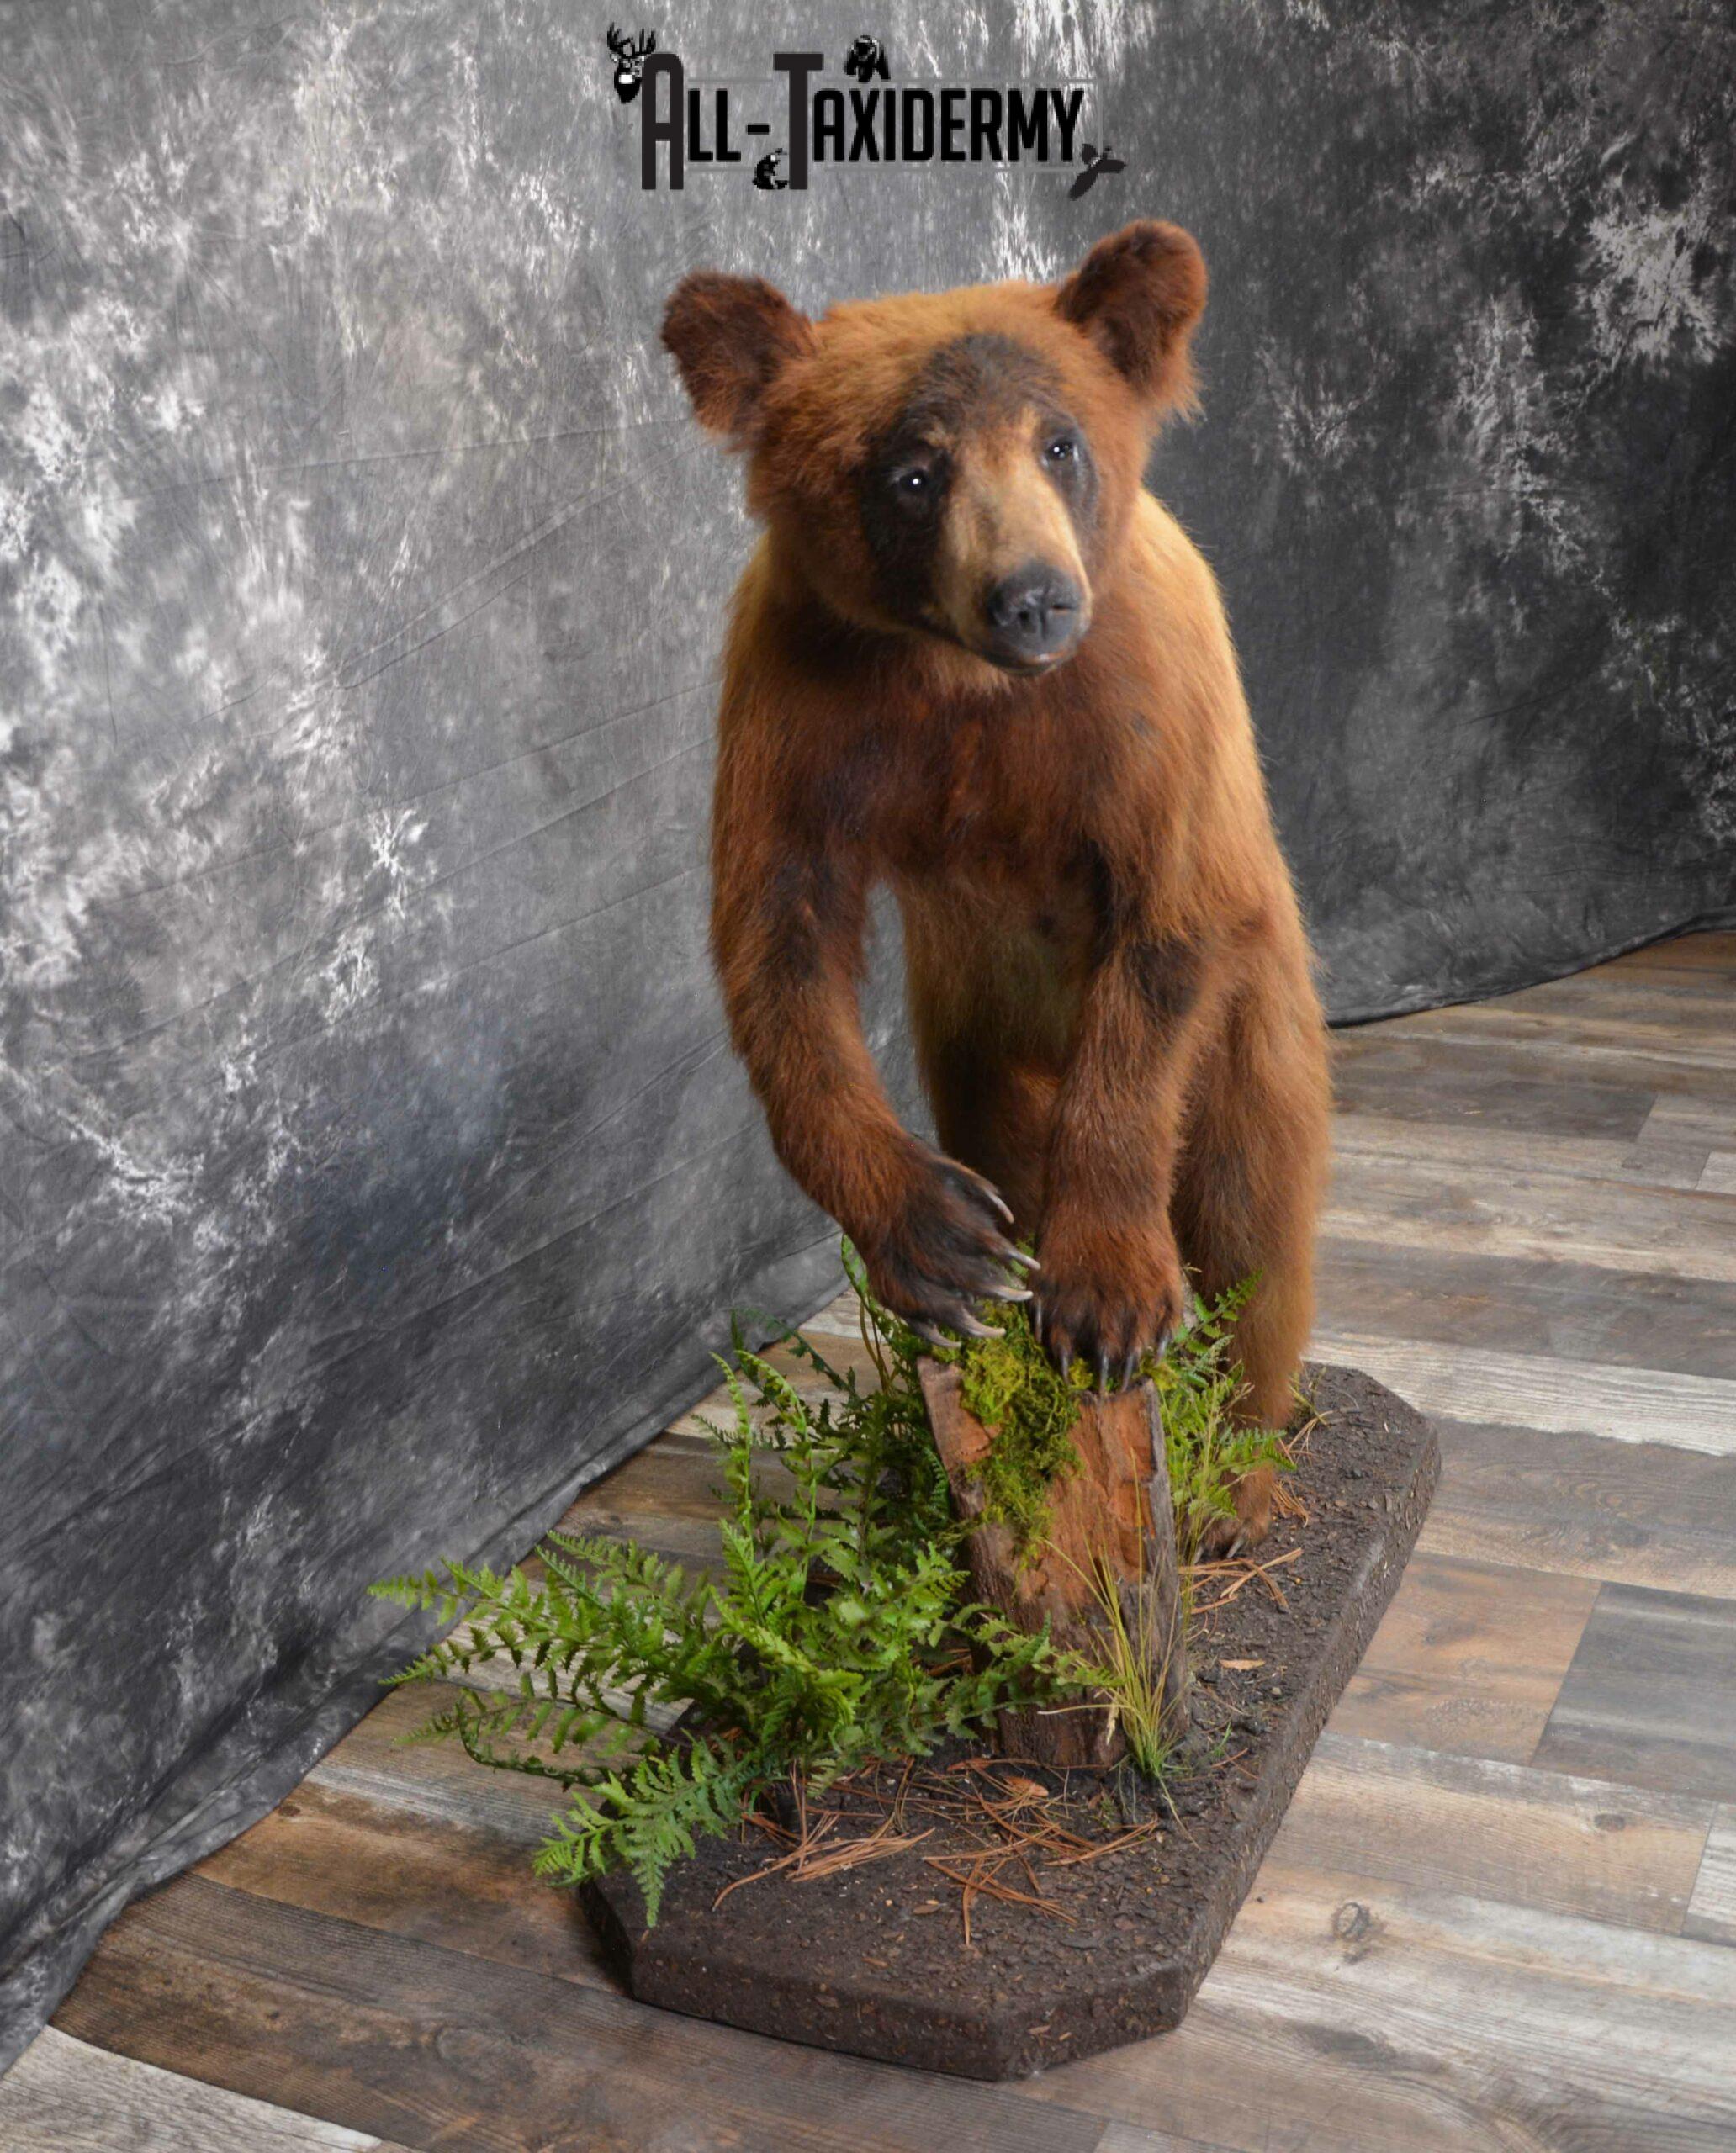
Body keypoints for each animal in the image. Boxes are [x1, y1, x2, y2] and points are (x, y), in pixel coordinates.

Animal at [662, 221, 1331, 1550]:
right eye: (913, 472)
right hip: (975, 1039)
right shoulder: (799, 712)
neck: (966, 692)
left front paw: (1109, 1297)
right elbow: (778, 946)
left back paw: (1241, 1475)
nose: (1034, 597)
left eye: (1059, 440)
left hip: (1259, 1023)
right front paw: (944, 1247)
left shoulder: (1145, 716)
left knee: (1257, 1222)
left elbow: (1166, 933)